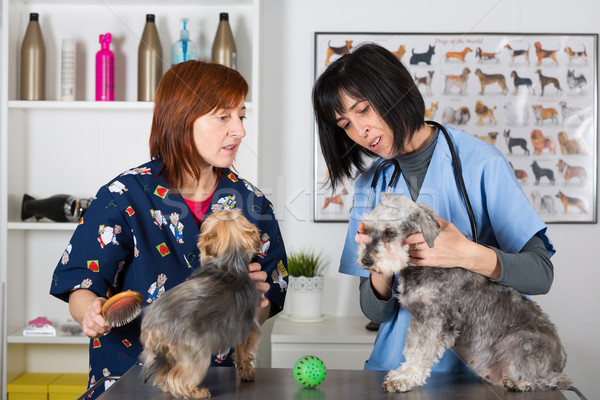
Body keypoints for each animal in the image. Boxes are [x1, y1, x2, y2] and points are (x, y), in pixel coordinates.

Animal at [142, 208, 264, 398]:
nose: (224, 207)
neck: (228, 263)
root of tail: (154, 324)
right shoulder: (248, 329)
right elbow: (244, 353)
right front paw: (247, 374)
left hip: (162, 351)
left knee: (164, 372)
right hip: (195, 350)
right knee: (178, 376)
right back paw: (195, 392)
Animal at [356, 194, 572, 394]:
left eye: (390, 232)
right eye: (365, 230)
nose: (366, 261)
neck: (420, 267)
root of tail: (561, 360)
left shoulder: (437, 319)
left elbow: (422, 352)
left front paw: (405, 379)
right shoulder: (419, 318)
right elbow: (412, 349)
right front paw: (401, 374)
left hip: (522, 342)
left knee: (558, 380)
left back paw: (520, 383)